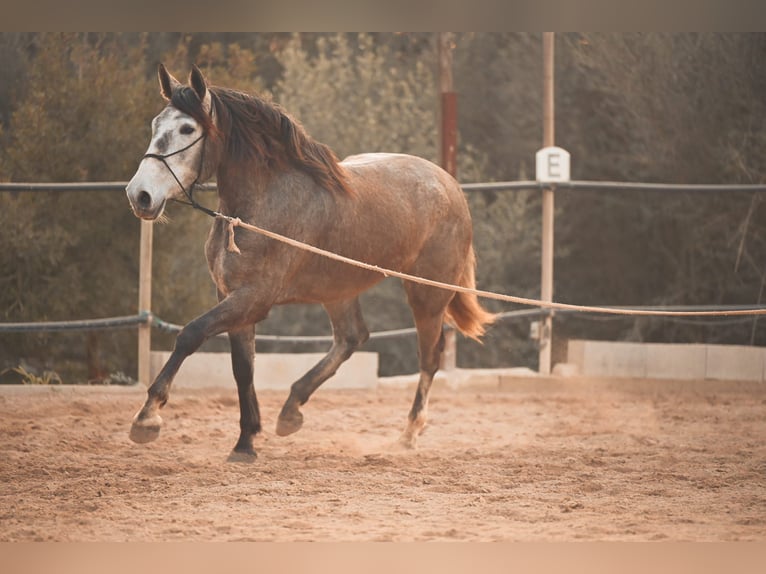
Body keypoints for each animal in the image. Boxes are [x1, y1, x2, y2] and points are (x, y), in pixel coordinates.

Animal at [124, 64, 498, 460]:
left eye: (186, 129)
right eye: (156, 123)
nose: (140, 195)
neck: (257, 209)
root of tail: (450, 185)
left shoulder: (253, 299)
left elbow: (190, 334)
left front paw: (147, 418)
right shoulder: (232, 297)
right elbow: (243, 369)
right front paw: (245, 443)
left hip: (426, 294)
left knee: (429, 356)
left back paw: (409, 434)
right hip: (339, 289)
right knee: (351, 338)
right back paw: (291, 411)